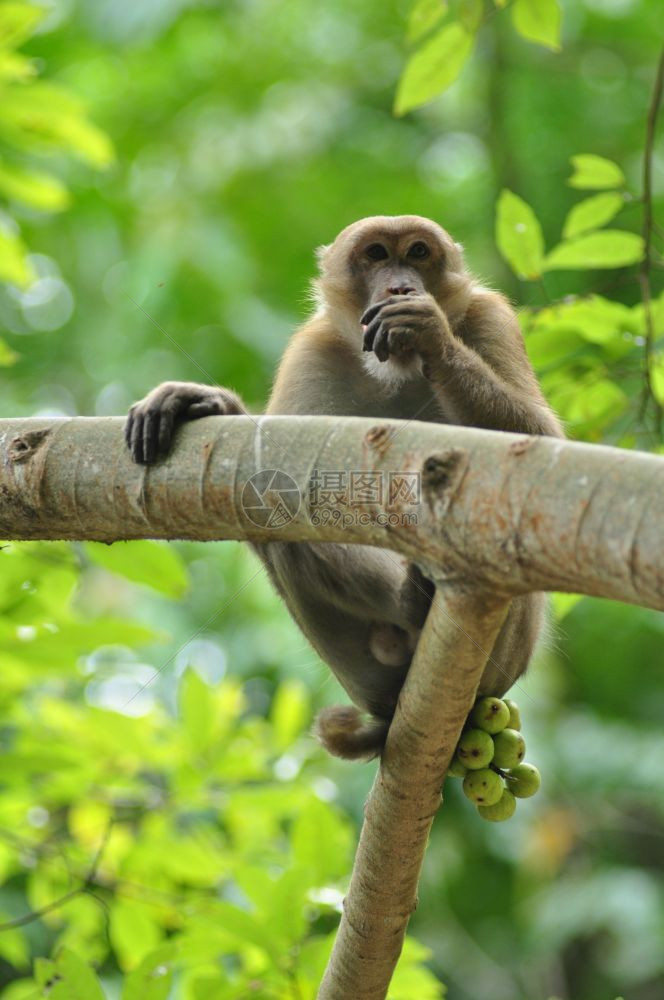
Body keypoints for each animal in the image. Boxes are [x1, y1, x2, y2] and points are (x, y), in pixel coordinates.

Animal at [124, 217, 560, 756]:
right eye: (376, 255)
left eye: (418, 253)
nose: (400, 285)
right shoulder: (314, 350)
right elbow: (272, 478)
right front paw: (208, 403)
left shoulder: (491, 317)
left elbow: (542, 451)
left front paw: (430, 333)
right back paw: (409, 608)